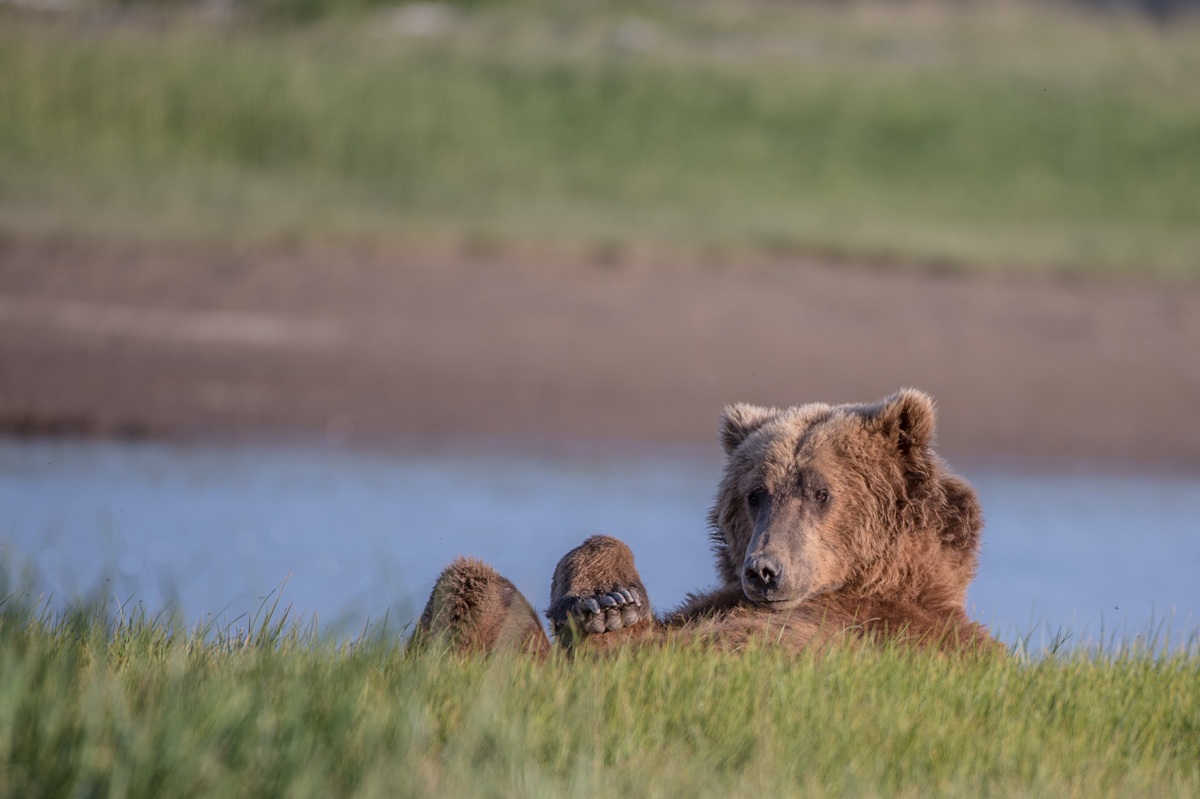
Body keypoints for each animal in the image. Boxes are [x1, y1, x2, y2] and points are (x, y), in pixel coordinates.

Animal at [412, 389, 999, 656]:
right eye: (756, 494)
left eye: (820, 491)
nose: (764, 570)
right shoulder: (708, 605)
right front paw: (608, 601)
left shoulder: (882, 632)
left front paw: (609, 611)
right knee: (469, 580)